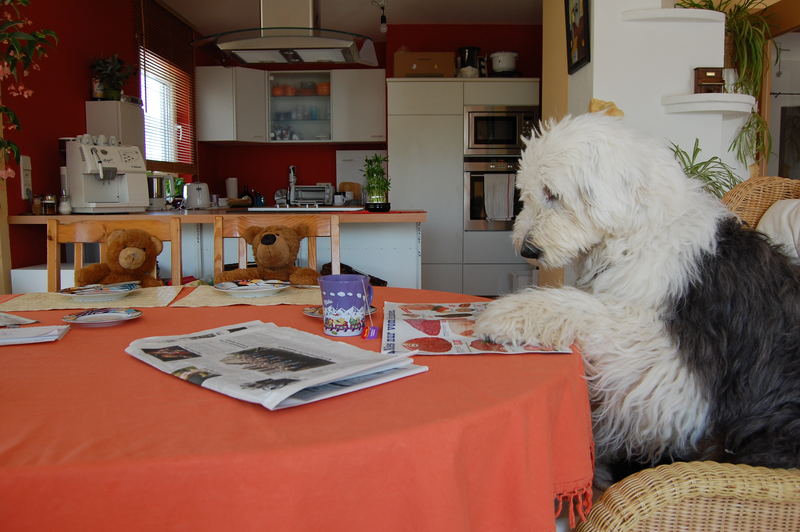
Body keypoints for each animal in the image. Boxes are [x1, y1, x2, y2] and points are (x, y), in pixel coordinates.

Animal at [476, 112, 800, 486]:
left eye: (552, 193)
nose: (527, 249)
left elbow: (587, 308)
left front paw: (506, 313)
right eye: (525, 193)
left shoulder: (675, 378)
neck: (639, 234)